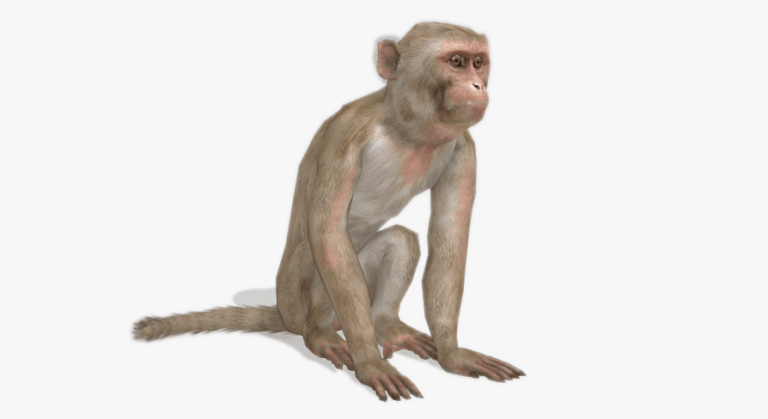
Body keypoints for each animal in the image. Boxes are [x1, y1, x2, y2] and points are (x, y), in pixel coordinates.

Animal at [133, 22, 525, 401]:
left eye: (479, 63)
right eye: (456, 62)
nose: (477, 85)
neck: (406, 132)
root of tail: (285, 313)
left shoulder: (463, 148)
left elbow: (449, 240)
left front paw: (452, 354)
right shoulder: (345, 135)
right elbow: (328, 233)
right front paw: (370, 362)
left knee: (401, 241)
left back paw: (385, 324)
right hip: (297, 299)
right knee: (319, 251)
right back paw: (319, 332)